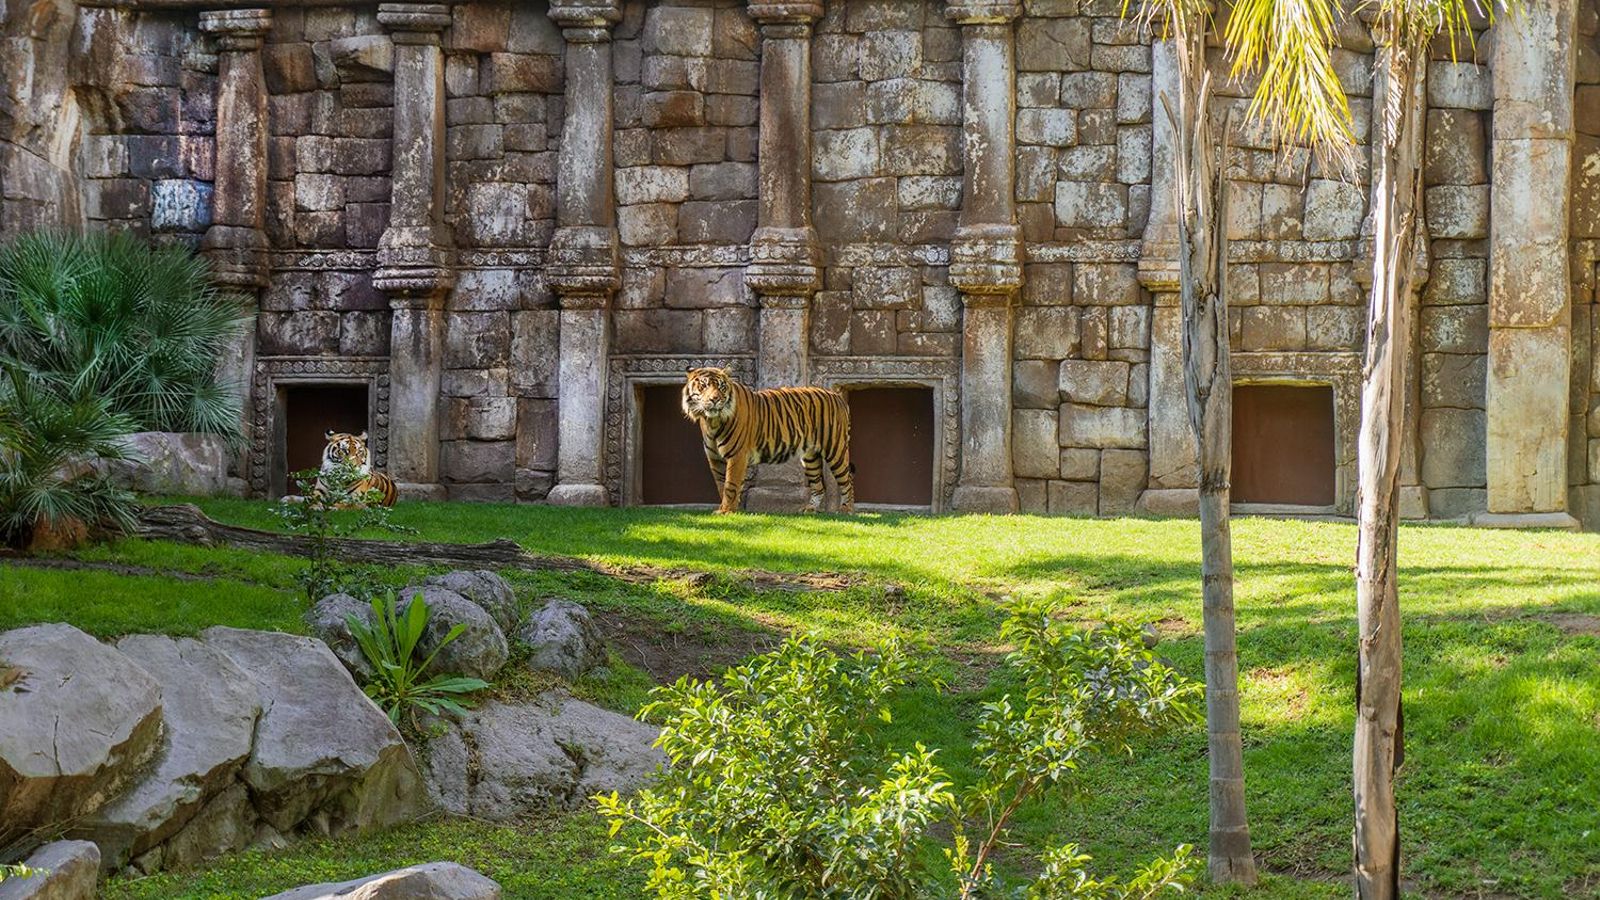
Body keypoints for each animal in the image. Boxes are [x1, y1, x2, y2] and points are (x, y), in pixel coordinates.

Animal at [681, 367, 854, 515]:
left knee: (847, 480)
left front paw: (726, 511)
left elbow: (730, 484)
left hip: (835, 449)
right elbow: (721, 484)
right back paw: (810, 509)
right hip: (810, 457)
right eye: (703, 386)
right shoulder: (715, 458)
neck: (711, 422)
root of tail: (837, 396)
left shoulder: (737, 455)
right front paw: (729, 509)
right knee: (818, 486)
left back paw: (846, 510)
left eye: (721, 387)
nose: (715, 399)